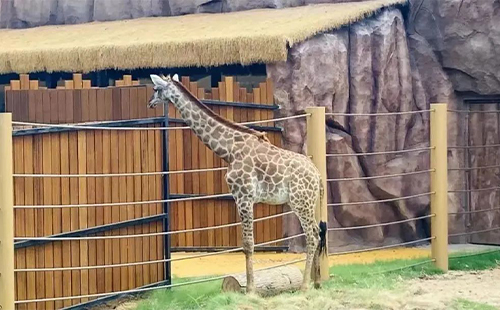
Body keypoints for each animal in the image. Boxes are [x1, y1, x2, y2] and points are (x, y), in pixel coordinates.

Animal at [148, 74, 328, 292]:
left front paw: (250, 289)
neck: (229, 150)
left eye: (156, 88)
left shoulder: (243, 196)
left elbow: (248, 243)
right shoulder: (241, 197)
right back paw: (317, 282)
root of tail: (318, 175)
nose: (150, 103)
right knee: (318, 232)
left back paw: (304, 286)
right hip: (309, 203)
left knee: (312, 236)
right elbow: (248, 243)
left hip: (300, 202)